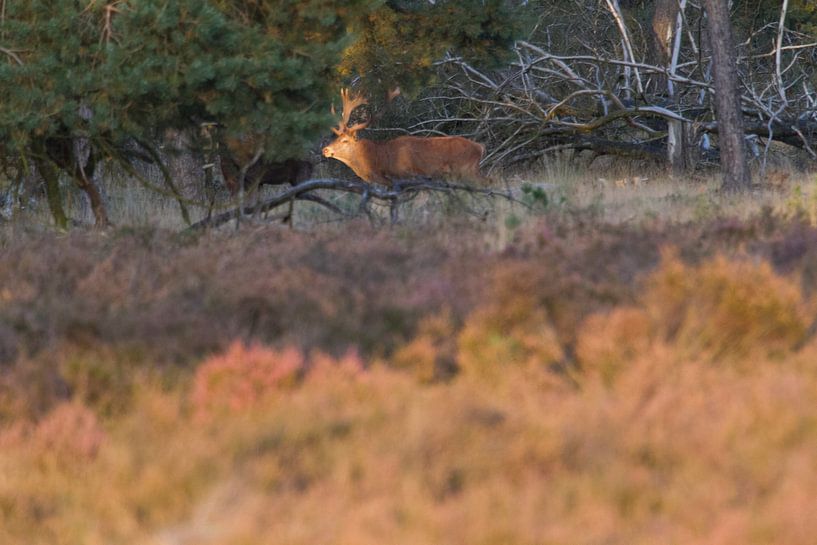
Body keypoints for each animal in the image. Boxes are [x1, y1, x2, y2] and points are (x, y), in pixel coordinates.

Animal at [322, 88, 487, 186]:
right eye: (335, 137)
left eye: (345, 140)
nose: (325, 150)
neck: (380, 160)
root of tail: (480, 147)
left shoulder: (408, 176)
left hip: (467, 170)